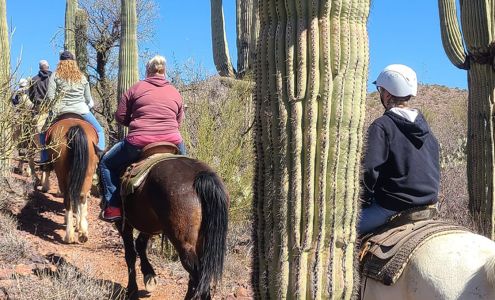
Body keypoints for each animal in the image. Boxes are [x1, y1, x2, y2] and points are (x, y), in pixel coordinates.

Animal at [116, 156, 231, 298]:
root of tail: (201, 176)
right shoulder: (150, 225)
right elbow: (140, 244)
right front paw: (149, 275)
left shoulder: (124, 224)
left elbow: (130, 255)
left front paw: (132, 290)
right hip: (202, 242)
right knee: (199, 278)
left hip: (184, 244)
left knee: (198, 277)